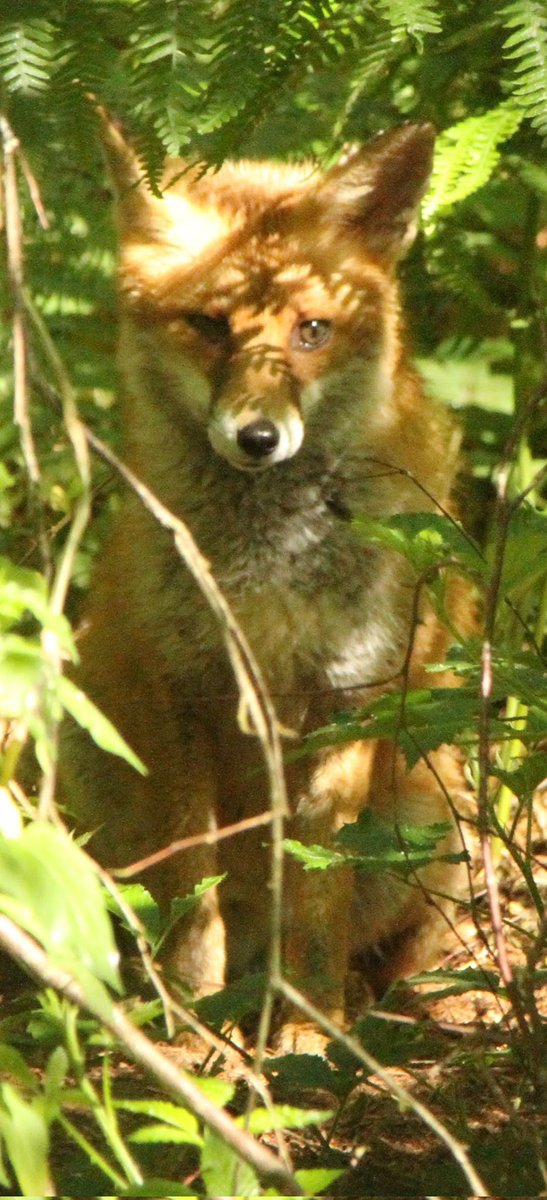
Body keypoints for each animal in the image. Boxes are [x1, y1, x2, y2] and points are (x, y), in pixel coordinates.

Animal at [62, 118, 468, 1051]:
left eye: (311, 330)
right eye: (209, 327)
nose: (257, 437)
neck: (265, 573)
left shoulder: (347, 695)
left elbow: (317, 900)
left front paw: (308, 1033)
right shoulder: (181, 688)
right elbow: (190, 893)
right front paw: (190, 1026)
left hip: (433, 817)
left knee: (385, 947)